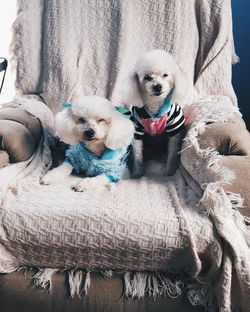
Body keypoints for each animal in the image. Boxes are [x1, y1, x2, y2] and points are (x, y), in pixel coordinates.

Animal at [122, 50, 192, 179]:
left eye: (165, 75)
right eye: (147, 77)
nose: (158, 86)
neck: (155, 105)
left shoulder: (174, 130)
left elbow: (172, 153)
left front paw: (169, 171)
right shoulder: (137, 131)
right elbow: (138, 155)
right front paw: (137, 173)